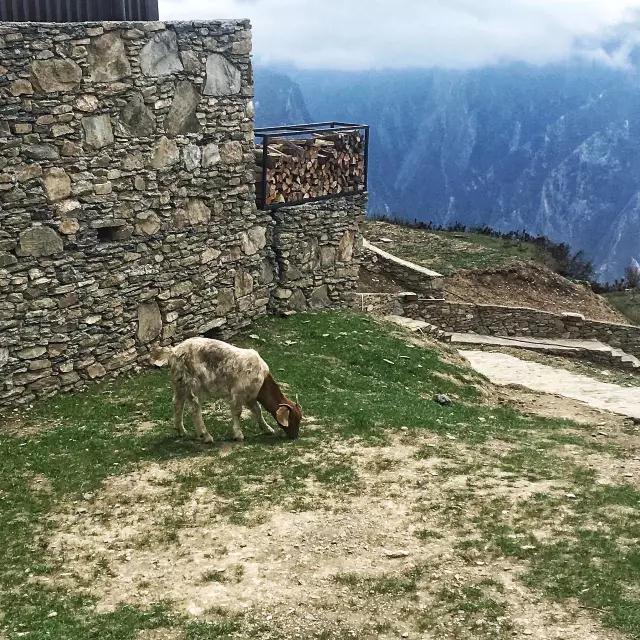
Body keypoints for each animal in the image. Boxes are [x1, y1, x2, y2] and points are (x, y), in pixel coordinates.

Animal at [151, 338, 302, 442]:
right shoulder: (238, 393)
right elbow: (237, 412)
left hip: (180, 384)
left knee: (177, 403)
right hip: (192, 384)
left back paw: (181, 430)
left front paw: (267, 429)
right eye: (293, 419)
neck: (262, 379)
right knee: (194, 409)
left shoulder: (250, 397)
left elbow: (257, 411)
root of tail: (173, 351)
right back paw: (206, 436)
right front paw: (238, 434)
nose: (294, 436)